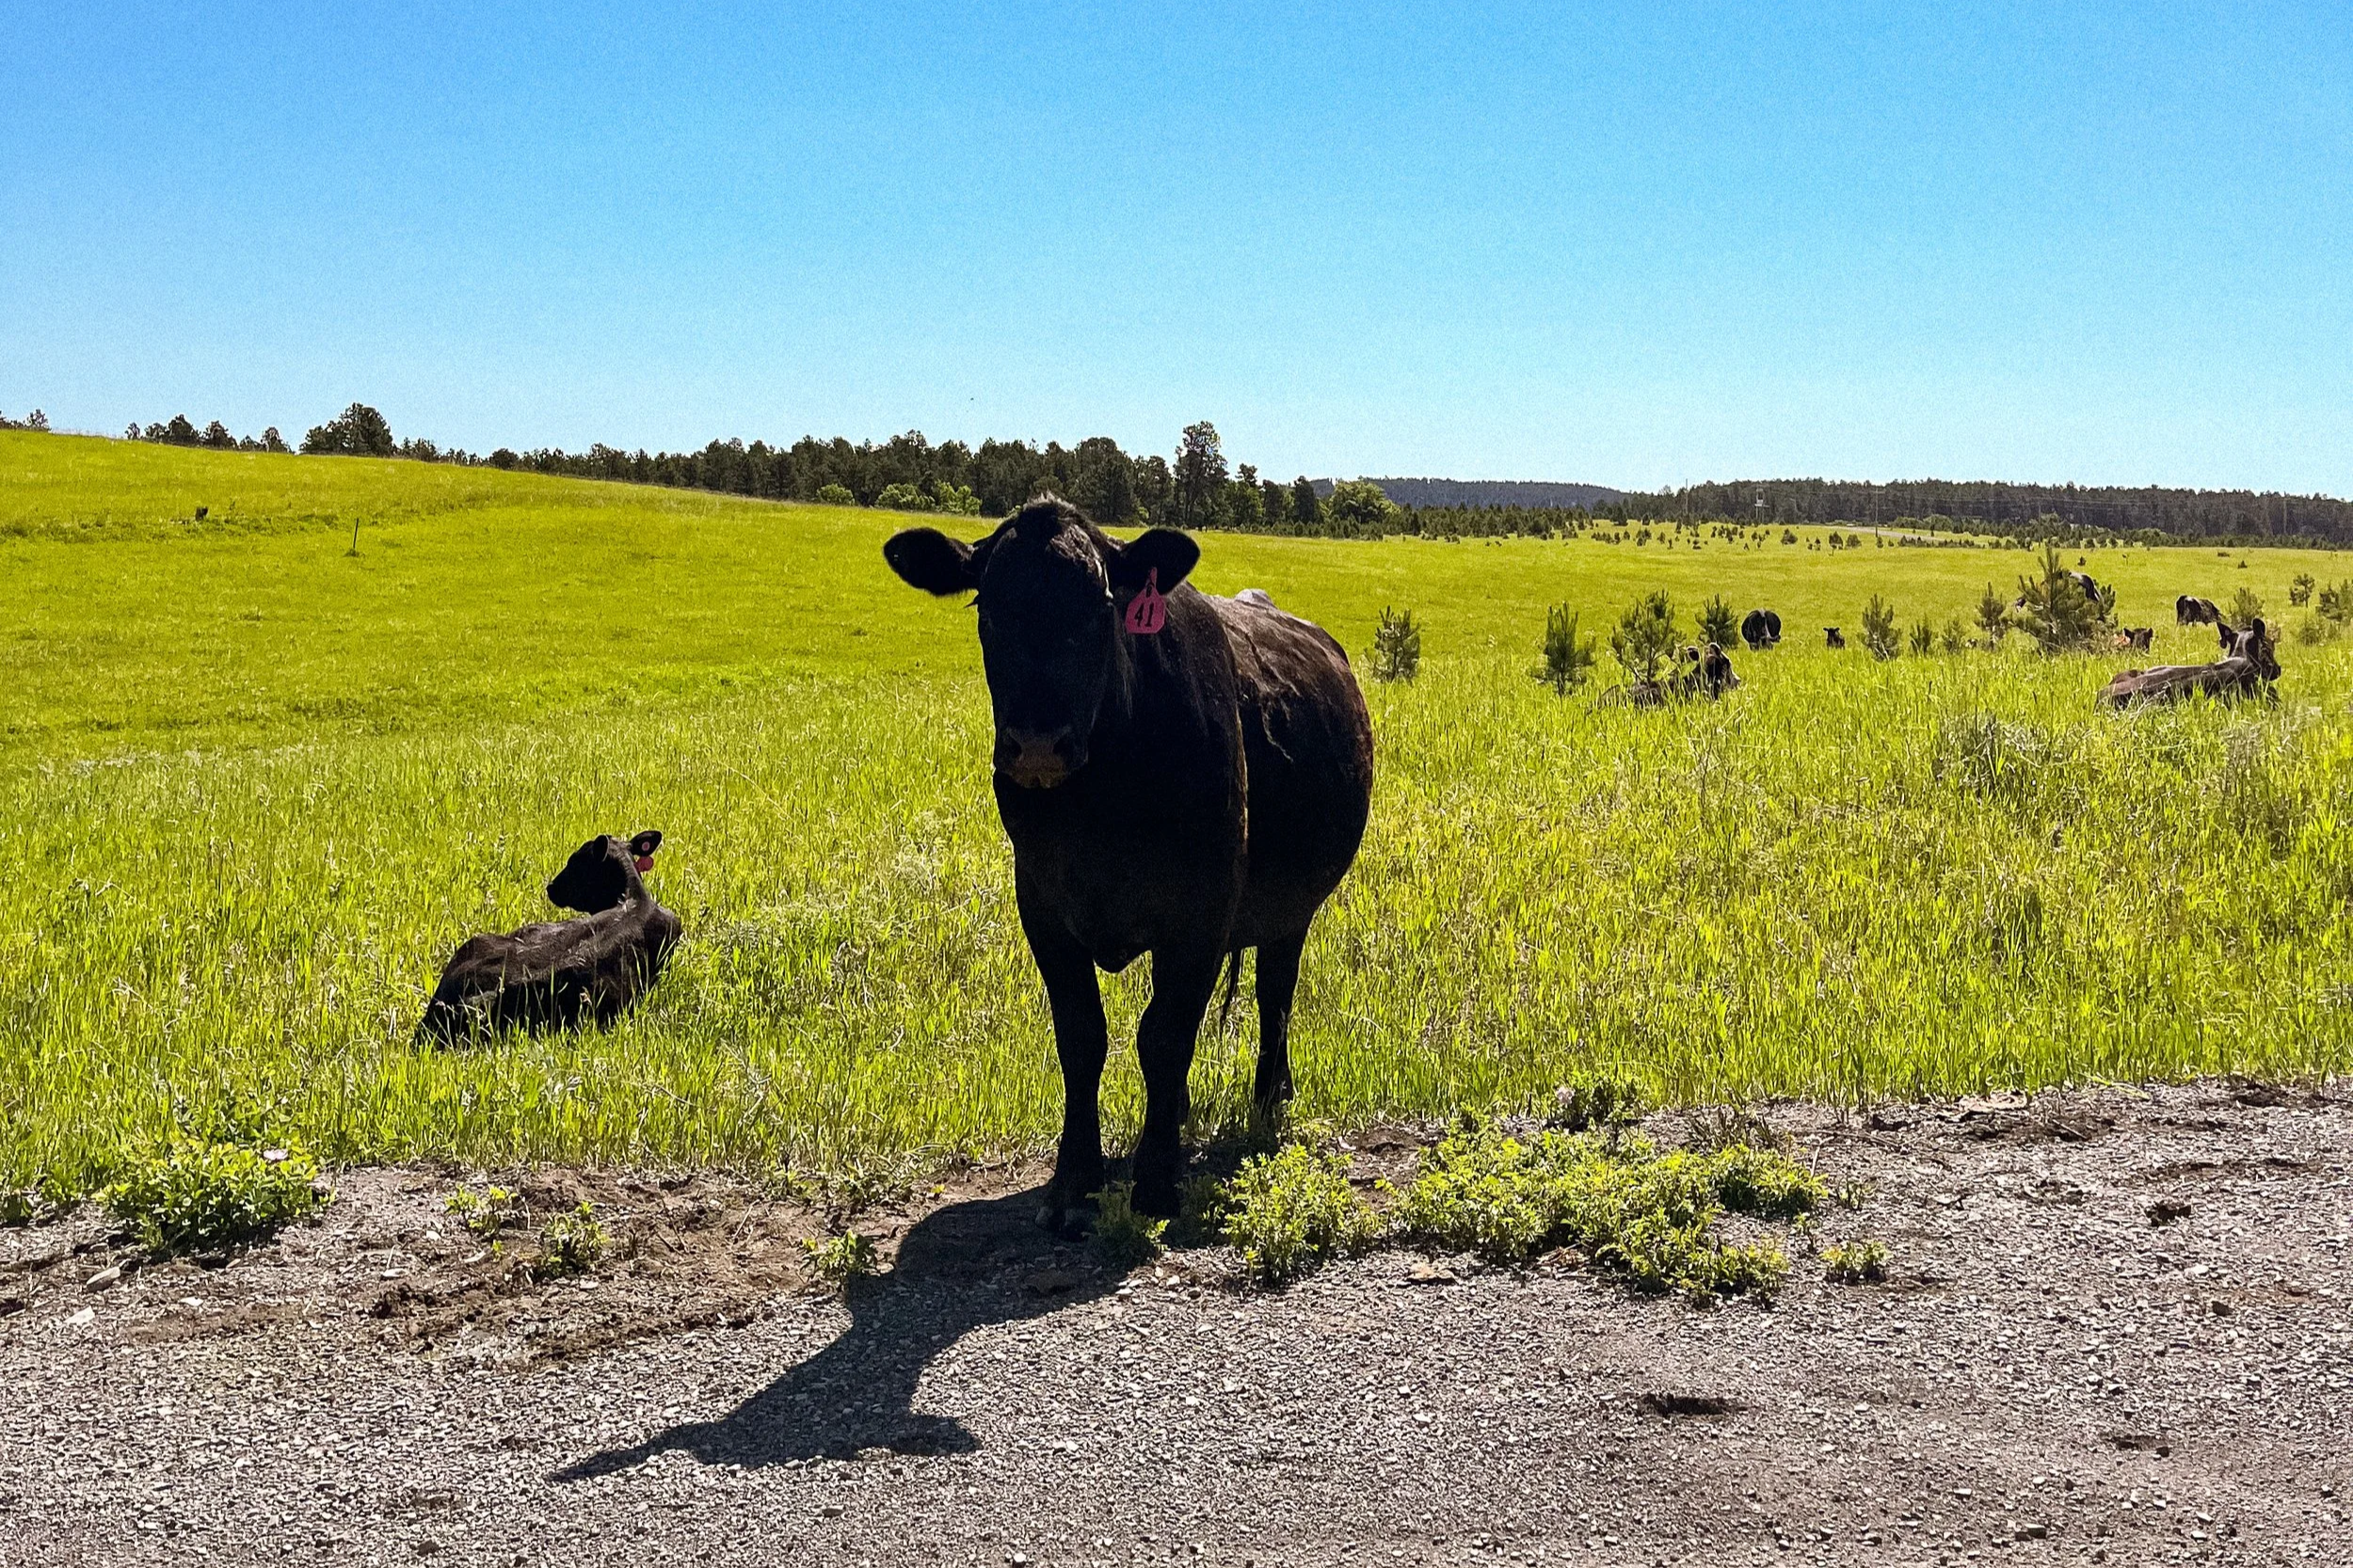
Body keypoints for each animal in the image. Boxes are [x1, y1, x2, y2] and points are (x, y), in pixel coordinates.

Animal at [883, 497, 1375, 1227]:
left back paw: (1270, 1097)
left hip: (1294, 908)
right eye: (987, 608)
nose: (1037, 744)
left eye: (1102, 607)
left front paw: (1157, 1178)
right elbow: (1082, 1037)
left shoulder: (1202, 912)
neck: (1102, 804)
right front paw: (1073, 1180)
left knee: (1274, 995)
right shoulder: (1042, 905)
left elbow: (1164, 1036)